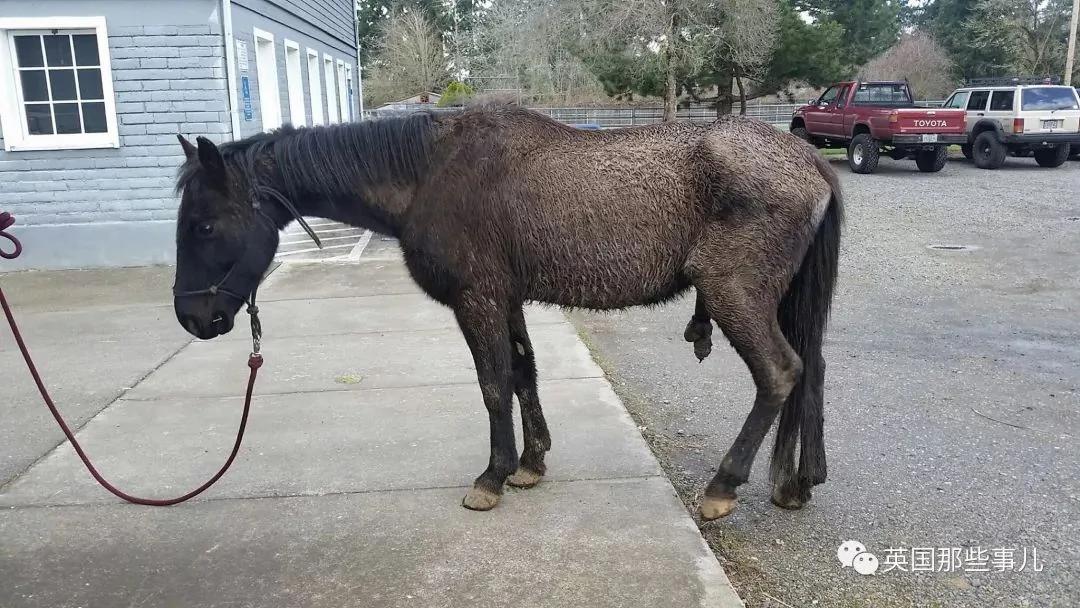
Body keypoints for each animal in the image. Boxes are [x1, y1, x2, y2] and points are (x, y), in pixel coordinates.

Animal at [172, 104, 842, 520]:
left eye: (203, 224)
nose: (193, 319)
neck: (428, 174)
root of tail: (808, 158)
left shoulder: (479, 301)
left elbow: (493, 384)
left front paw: (492, 477)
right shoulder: (507, 300)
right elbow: (522, 374)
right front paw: (530, 462)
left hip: (735, 295)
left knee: (780, 374)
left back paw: (724, 487)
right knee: (809, 370)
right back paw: (794, 482)